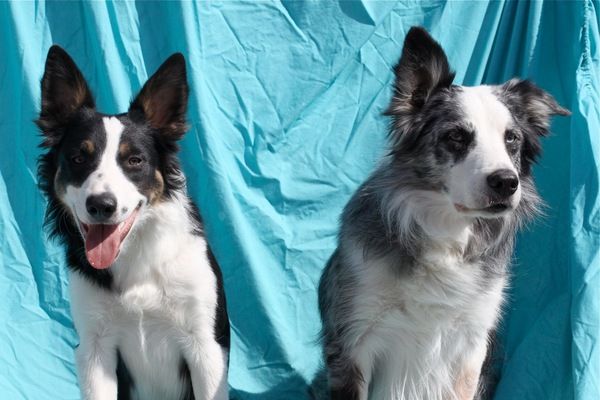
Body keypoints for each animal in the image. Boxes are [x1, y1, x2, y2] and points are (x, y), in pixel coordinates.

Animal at [36, 46, 229, 400]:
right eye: (78, 158)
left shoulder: (206, 346)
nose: (101, 206)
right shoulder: (94, 348)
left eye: (134, 160)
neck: (136, 253)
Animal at [318, 27, 569, 400]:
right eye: (456, 136)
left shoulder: (472, 343)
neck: (446, 231)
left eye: (512, 139)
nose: (506, 183)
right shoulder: (354, 336)